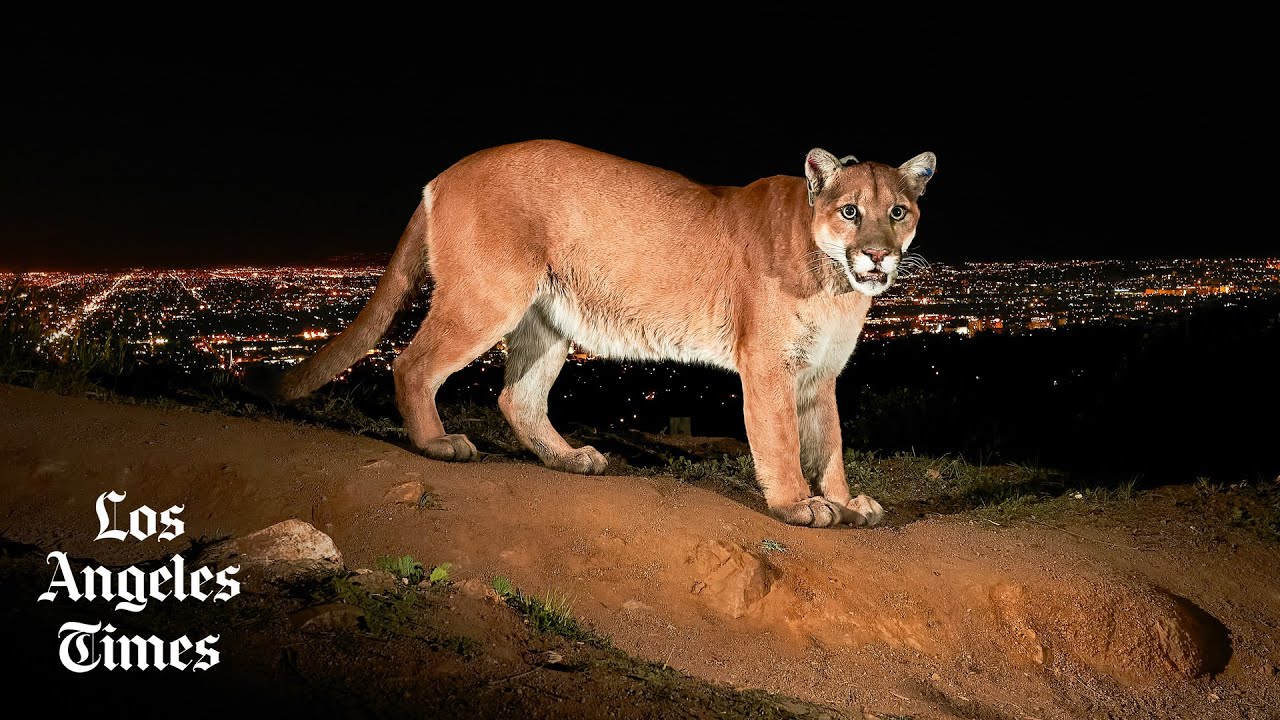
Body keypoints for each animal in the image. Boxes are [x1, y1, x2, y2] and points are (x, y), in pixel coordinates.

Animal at [254, 140, 936, 527]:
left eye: (897, 212)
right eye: (850, 211)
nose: (877, 255)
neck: (838, 285)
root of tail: (443, 175)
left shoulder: (819, 374)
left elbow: (830, 444)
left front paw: (845, 500)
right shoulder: (770, 364)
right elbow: (784, 441)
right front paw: (797, 504)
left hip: (549, 318)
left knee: (517, 396)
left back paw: (567, 458)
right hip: (488, 296)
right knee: (413, 364)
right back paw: (438, 443)